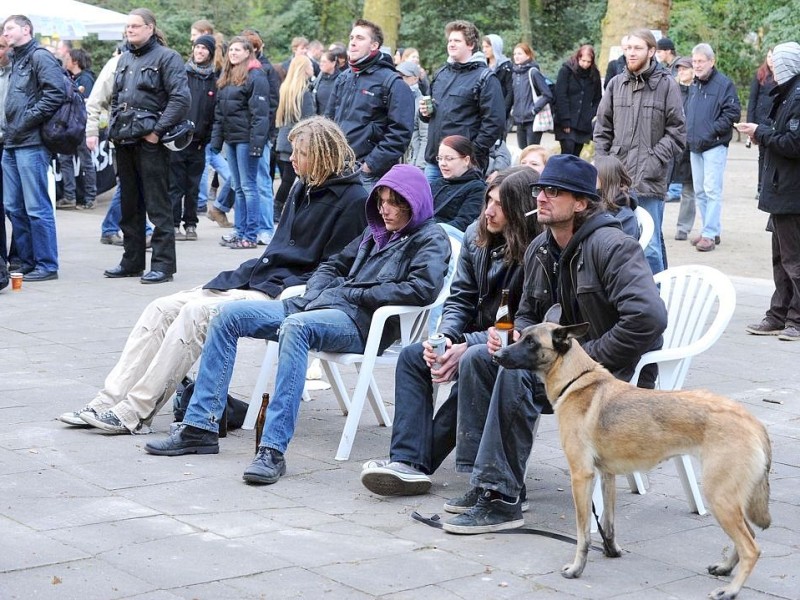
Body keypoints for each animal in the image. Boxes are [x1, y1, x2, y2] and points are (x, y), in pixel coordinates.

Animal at [490, 322, 772, 600]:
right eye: (521, 336)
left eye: (531, 342)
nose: (496, 355)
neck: (576, 379)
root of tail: (753, 422)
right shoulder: (607, 476)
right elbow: (609, 525)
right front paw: (611, 551)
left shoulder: (581, 476)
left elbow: (583, 533)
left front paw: (577, 568)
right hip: (729, 499)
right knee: (749, 535)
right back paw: (725, 568)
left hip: (719, 497)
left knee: (751, 548)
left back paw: (731, 590)